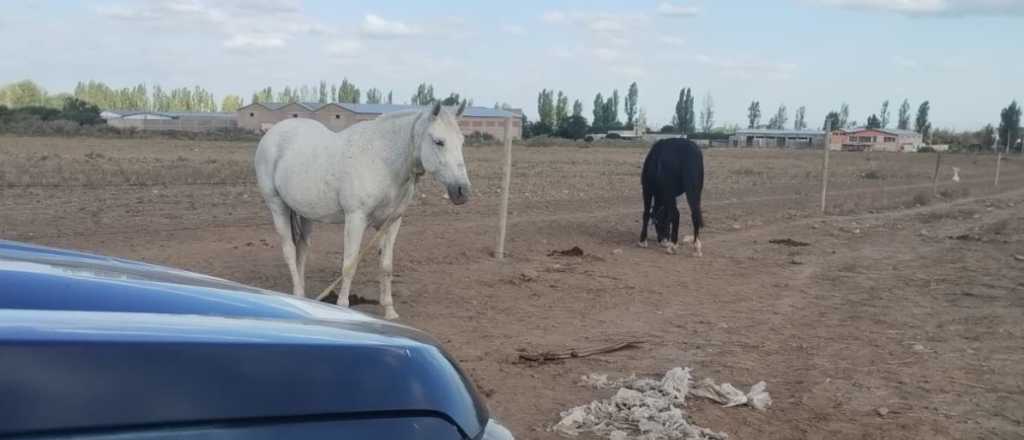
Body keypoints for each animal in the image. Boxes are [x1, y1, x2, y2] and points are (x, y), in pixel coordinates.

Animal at [253, 101, 468, 317]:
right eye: (439, 141)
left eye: (462, 141)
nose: (462, 191)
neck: (381, 160)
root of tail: (272, 133)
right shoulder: (356, 218)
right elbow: (349, 264)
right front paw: (342, 306)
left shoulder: (392, 222)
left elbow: (386, 266)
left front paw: (390, 311)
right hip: (277, 205)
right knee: (289, 249)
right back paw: (298, 292)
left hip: (304, 212)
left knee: (302, 249)